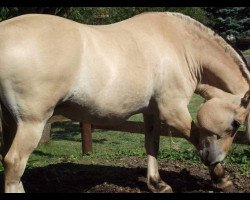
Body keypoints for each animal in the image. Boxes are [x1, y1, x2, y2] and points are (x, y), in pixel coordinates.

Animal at [0, 11, 249, 193]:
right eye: (236, 123)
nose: (214, 157)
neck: (179, 46)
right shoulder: (173, 111)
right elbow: (196, 137)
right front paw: (221, 178)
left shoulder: (151, 111)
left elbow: (152, 144)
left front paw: (157, 183)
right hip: (32, 122)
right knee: (14, 163)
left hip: (11, 121)